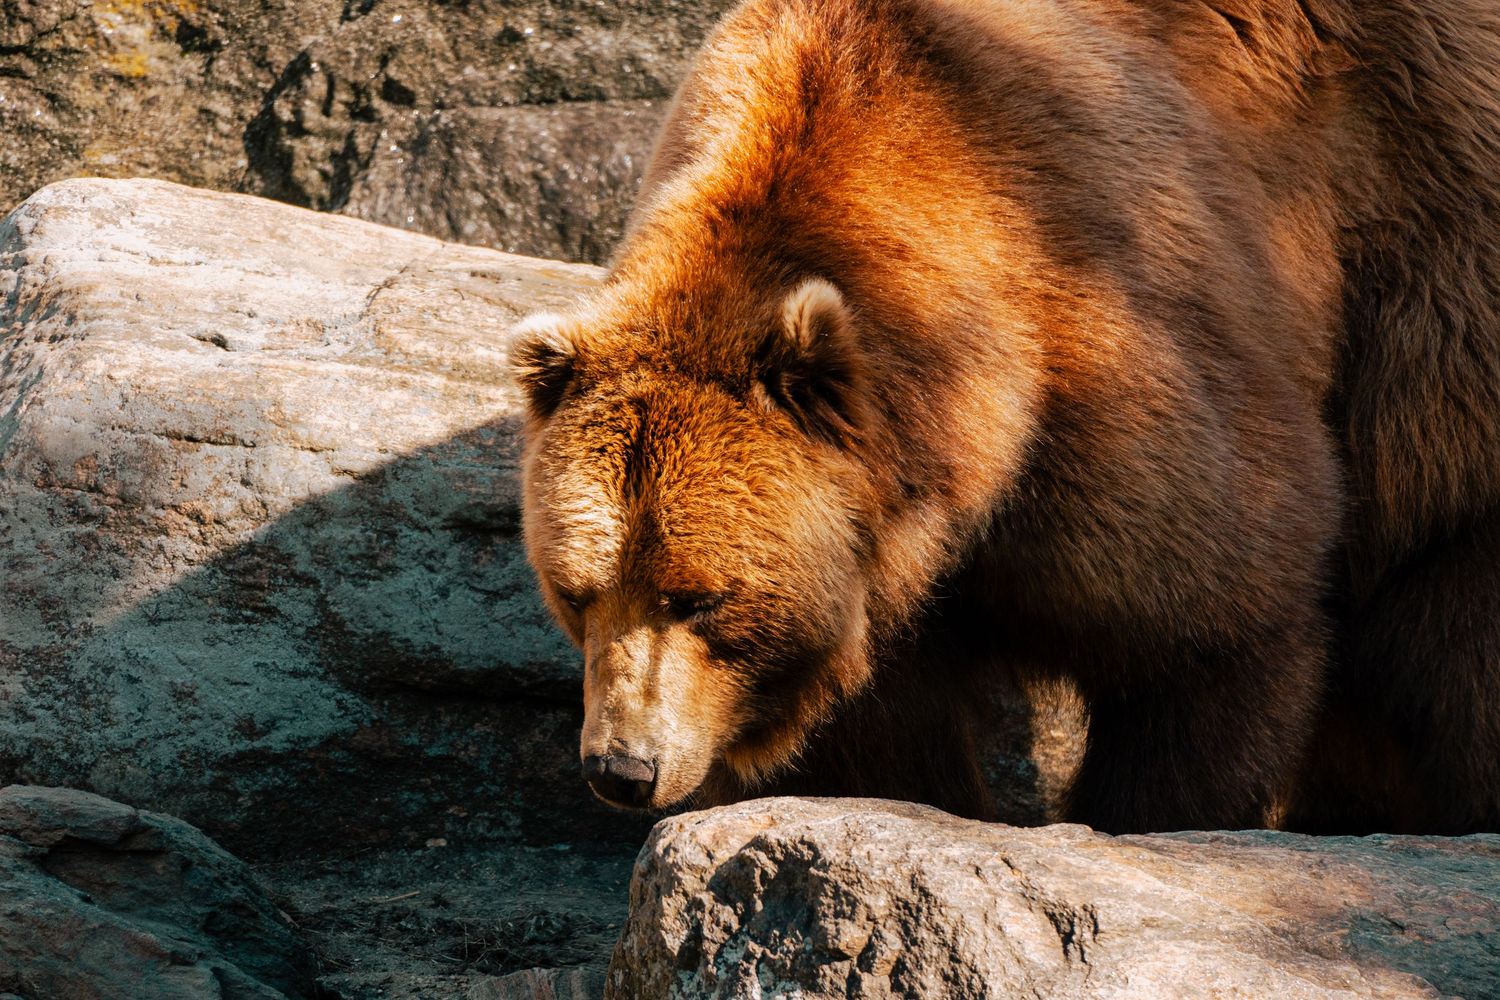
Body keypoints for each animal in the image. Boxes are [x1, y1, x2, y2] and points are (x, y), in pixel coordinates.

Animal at [510, 0, 1500, 834]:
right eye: (577, 590)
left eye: (697, 596)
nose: (622, 769)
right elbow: (885, 738)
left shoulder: (1113, 353)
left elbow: (1217, 622)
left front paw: (1145, 815)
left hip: (1428, 260)